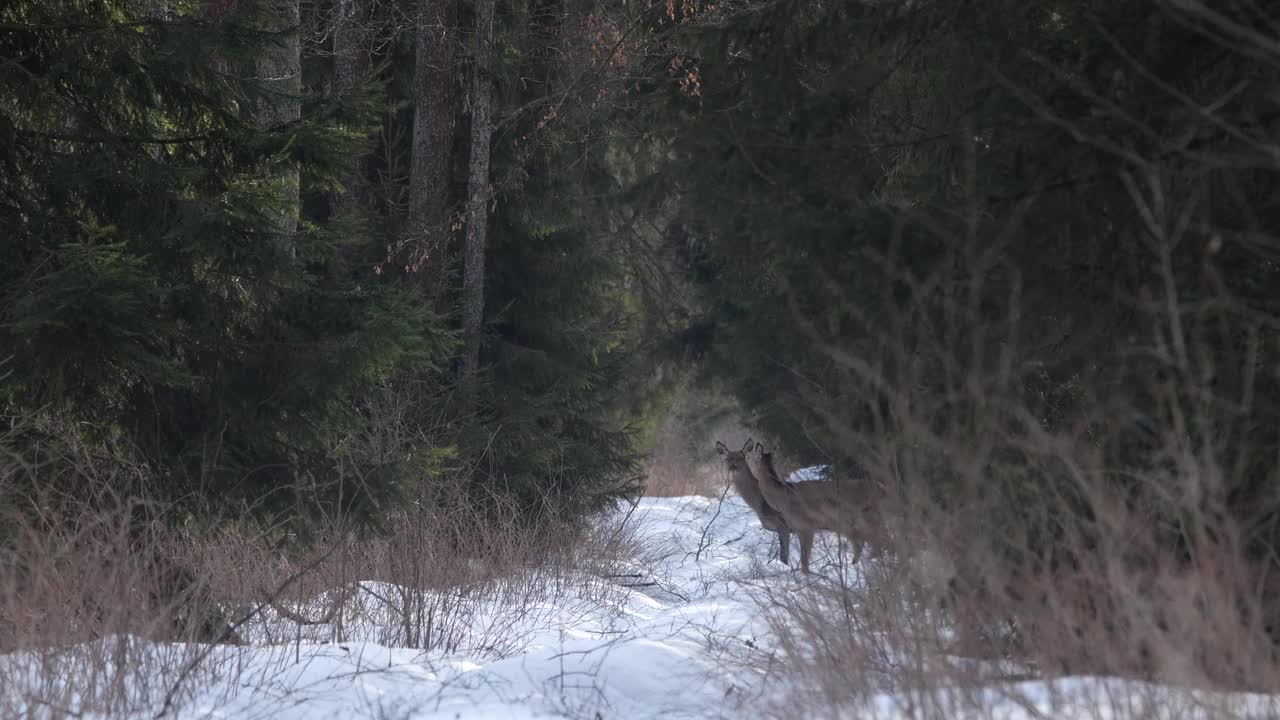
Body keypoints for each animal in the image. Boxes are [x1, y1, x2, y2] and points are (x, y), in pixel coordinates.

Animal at [716, 438, 793, 566]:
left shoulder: (783, 525)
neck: (759, 504)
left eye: (741, 458)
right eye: (727, 459)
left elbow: (784, 556)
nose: (732, 467)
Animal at [752, 443, 885, 571]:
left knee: (876, 541)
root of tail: (881, 488)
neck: (783, 497)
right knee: (865, 543)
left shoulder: (807, 527)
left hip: (865, 519)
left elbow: (804, 561)